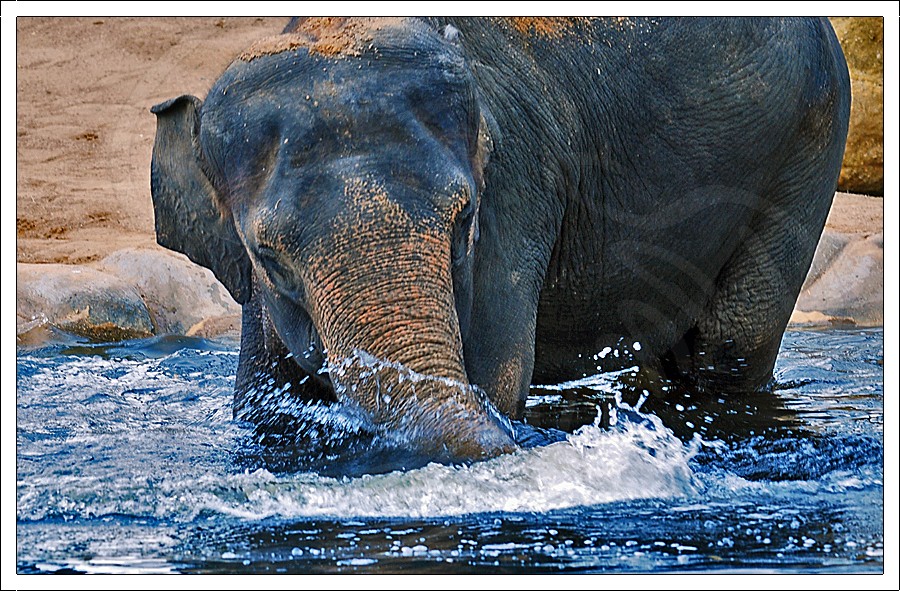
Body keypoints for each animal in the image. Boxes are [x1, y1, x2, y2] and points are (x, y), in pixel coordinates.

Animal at [150, 17, 850, 463]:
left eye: (465, 223)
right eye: (268, 260)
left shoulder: (516, 194)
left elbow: (497, 369)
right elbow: (260, 407)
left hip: (810, 144)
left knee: (730, 346)